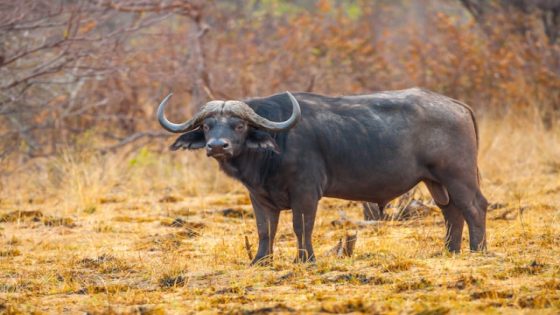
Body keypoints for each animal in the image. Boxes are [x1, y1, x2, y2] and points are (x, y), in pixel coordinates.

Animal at [156, 88, 486, 264]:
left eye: (238, 125)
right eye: (208, 126)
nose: (217, 146)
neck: (276, 147)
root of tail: (458, 105)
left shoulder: (305, 192)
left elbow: (301, 226)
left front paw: (305, 259)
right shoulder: (259, 197)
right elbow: (265, 229)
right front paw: (260, 260)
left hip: (458, 175)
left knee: (475, 207)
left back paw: (477, 250)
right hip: (435, 182)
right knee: (451, 212)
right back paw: (450, 250)